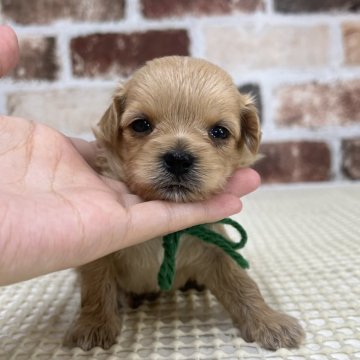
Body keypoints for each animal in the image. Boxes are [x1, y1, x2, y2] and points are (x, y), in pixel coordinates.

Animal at [64, 57, 304, 352]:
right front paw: (94, 325)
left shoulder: (214, 246)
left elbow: (241, 282)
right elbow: (96, 286)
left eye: (219, 132)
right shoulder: (101, 254)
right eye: (141, 125)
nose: (178, 159)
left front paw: (269, 321)